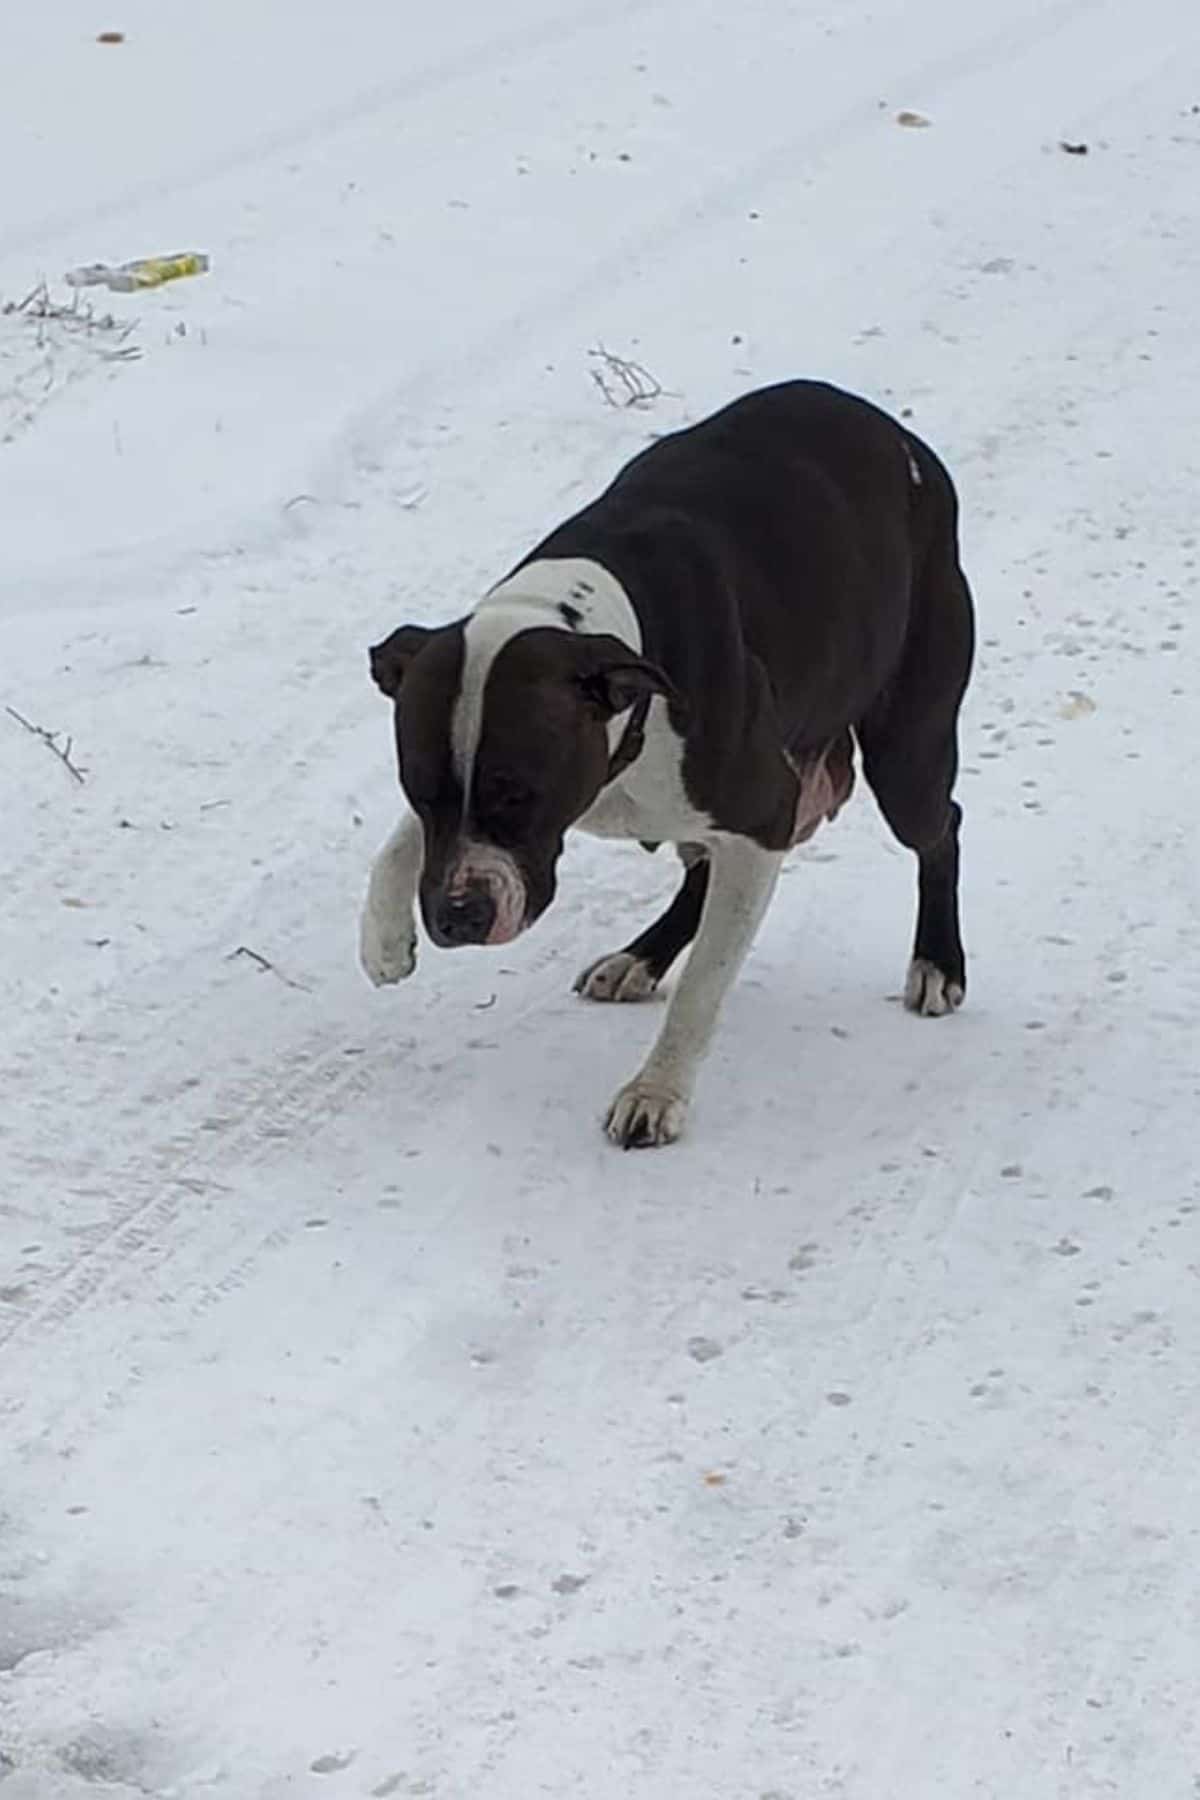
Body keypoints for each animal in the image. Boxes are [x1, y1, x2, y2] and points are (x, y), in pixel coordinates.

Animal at [359, 379, 978, 1144]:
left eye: (522, 794)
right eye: (419, 789)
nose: (459, 915)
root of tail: (900, 440)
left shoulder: (762, 814)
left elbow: (705, 987)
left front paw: (656, 1092)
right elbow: (398, 844)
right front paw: (383, 939)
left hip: (907, 755)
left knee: (940, 826)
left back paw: (937, 963)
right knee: (703, 870)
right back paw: (639, 957)